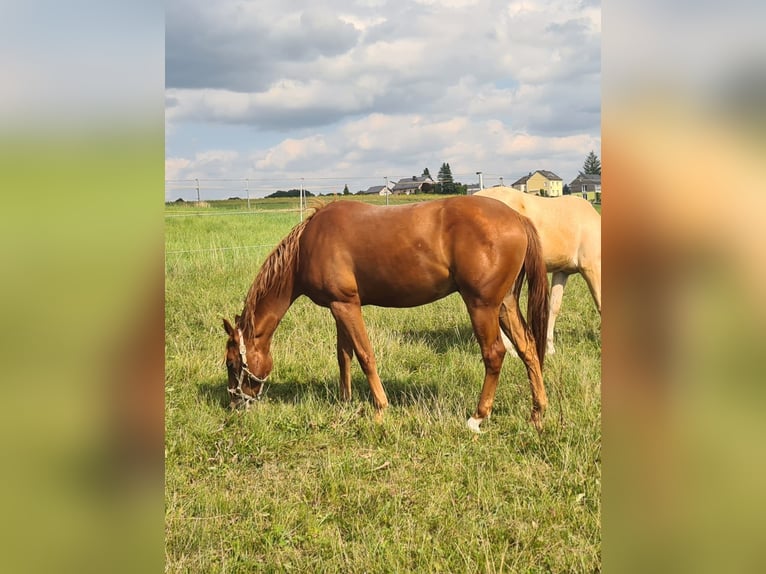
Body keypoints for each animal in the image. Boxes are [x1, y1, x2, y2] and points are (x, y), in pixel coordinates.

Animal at [222, 195, 550, 432]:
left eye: (231, 363)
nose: (235, 404)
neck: (307, 246)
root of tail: (518, 218)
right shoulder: (338, 306)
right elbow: (344, 355)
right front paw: (345, 402)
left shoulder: (347, 305)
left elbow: (365, 355)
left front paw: (380, 409)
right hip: (505, 303)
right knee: (527, 348)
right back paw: (537, 413)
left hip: (482, 306)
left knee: (494, 354)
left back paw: (477, 417)